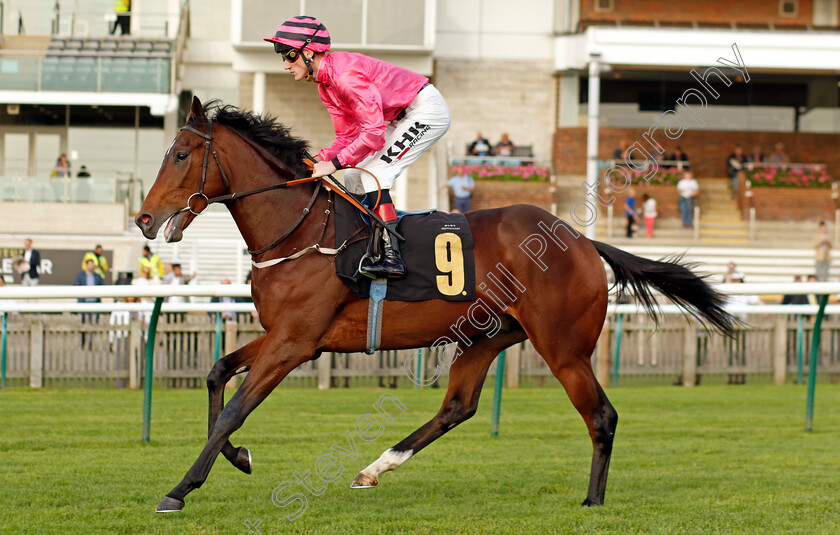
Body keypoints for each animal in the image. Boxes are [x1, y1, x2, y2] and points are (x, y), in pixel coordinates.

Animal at [135, 97, 732, 516]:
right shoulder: (287, 334)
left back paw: (593, 500)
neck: (300, 230)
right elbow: (217, 372)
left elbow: (235, 407)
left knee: (601, 415)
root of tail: (582, 241)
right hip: (486, 335)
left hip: (562, 346)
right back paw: (375, 468)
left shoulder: (295, 342)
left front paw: (179, 489)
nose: (143, 219)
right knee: (458, 407)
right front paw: (238, 456)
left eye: (181, 155)